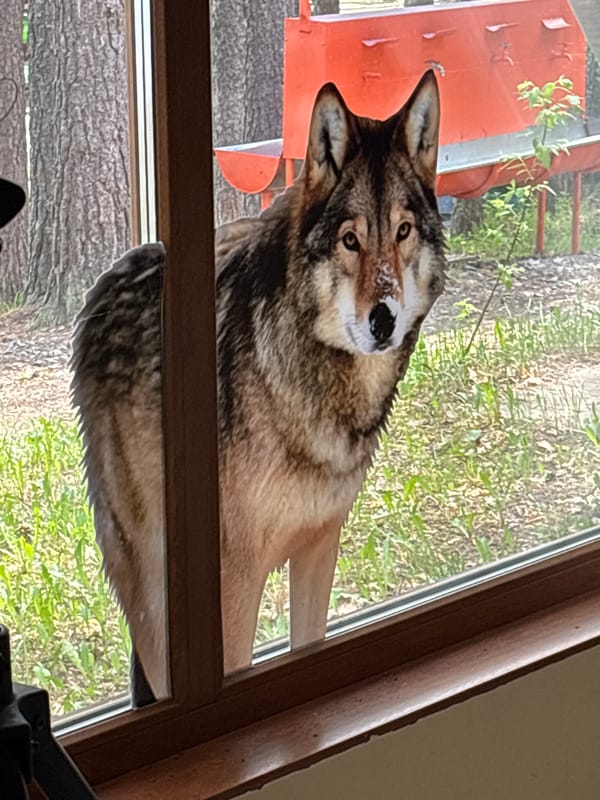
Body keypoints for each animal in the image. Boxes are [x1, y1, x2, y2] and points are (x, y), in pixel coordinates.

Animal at [71, 70, 445, 705]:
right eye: (350, 240)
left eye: (403, 232)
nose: (384, 321)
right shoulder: (236, 577)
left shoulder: (320, 547)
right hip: (148, 581)